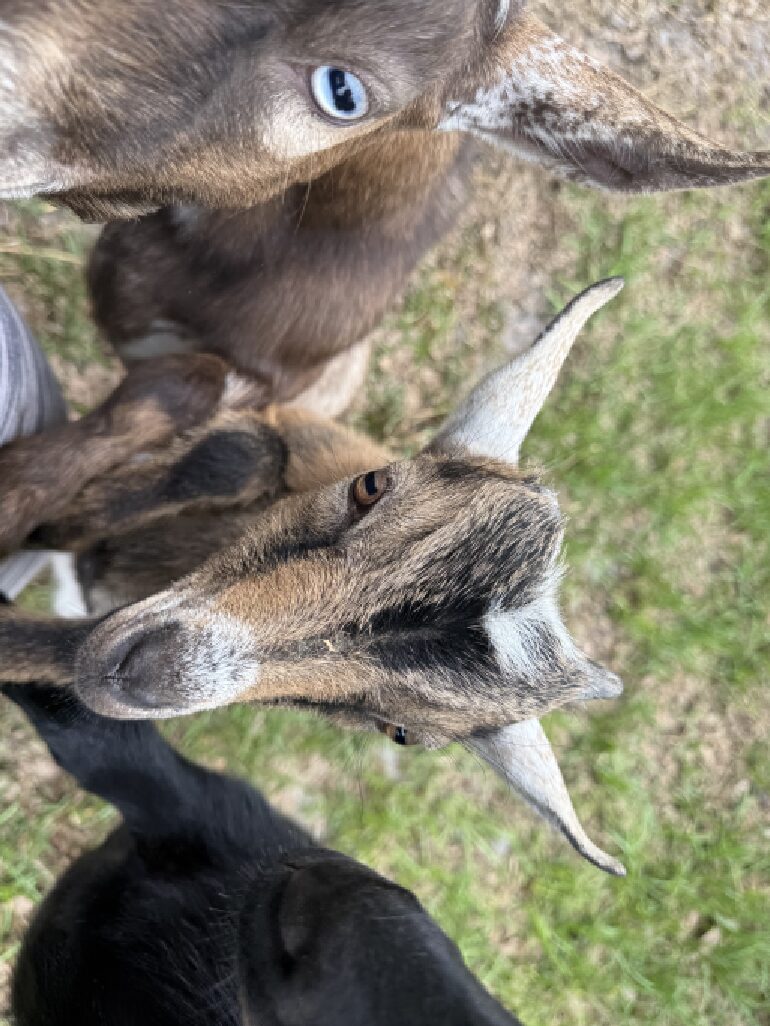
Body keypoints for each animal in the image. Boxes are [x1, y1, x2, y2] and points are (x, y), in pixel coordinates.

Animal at [0, 279, 627, 874]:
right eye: (370, 485)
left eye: (396, 730)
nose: (135, 672)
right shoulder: (289, 429)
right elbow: (245, 447)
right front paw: (40, 511)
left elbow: (58, 649)